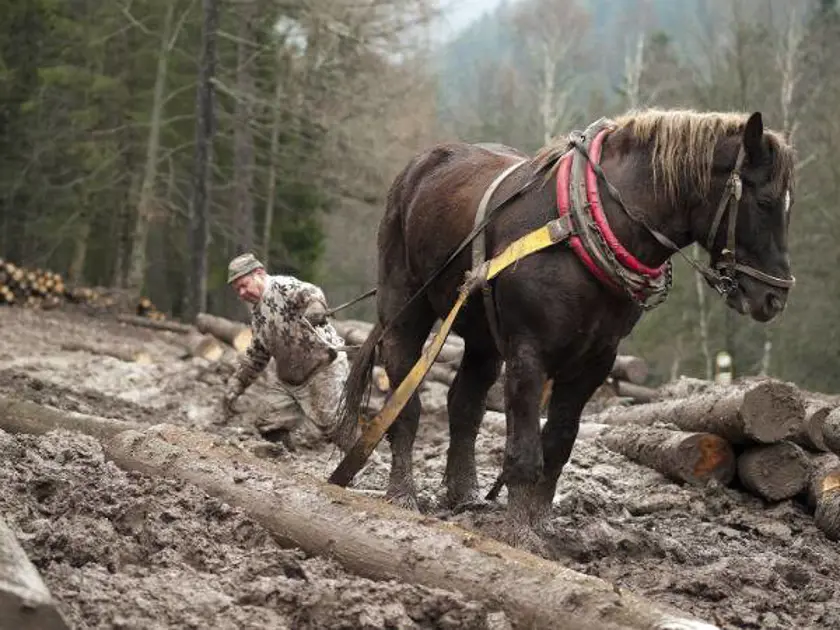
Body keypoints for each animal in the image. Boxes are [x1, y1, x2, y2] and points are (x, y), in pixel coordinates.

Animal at [334, 107, 796, 548]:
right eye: (764, 202)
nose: (775, 298)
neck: (584, 221)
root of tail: (419, 168)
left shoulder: (597, 359)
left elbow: (558, 443)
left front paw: (540, 522)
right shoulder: (528, 353)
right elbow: (525, 451)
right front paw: (519, 533)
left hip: (484, 335)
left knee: (464, 404)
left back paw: (464, 494)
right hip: (405, 307)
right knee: (404, 401)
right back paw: (402, 494)